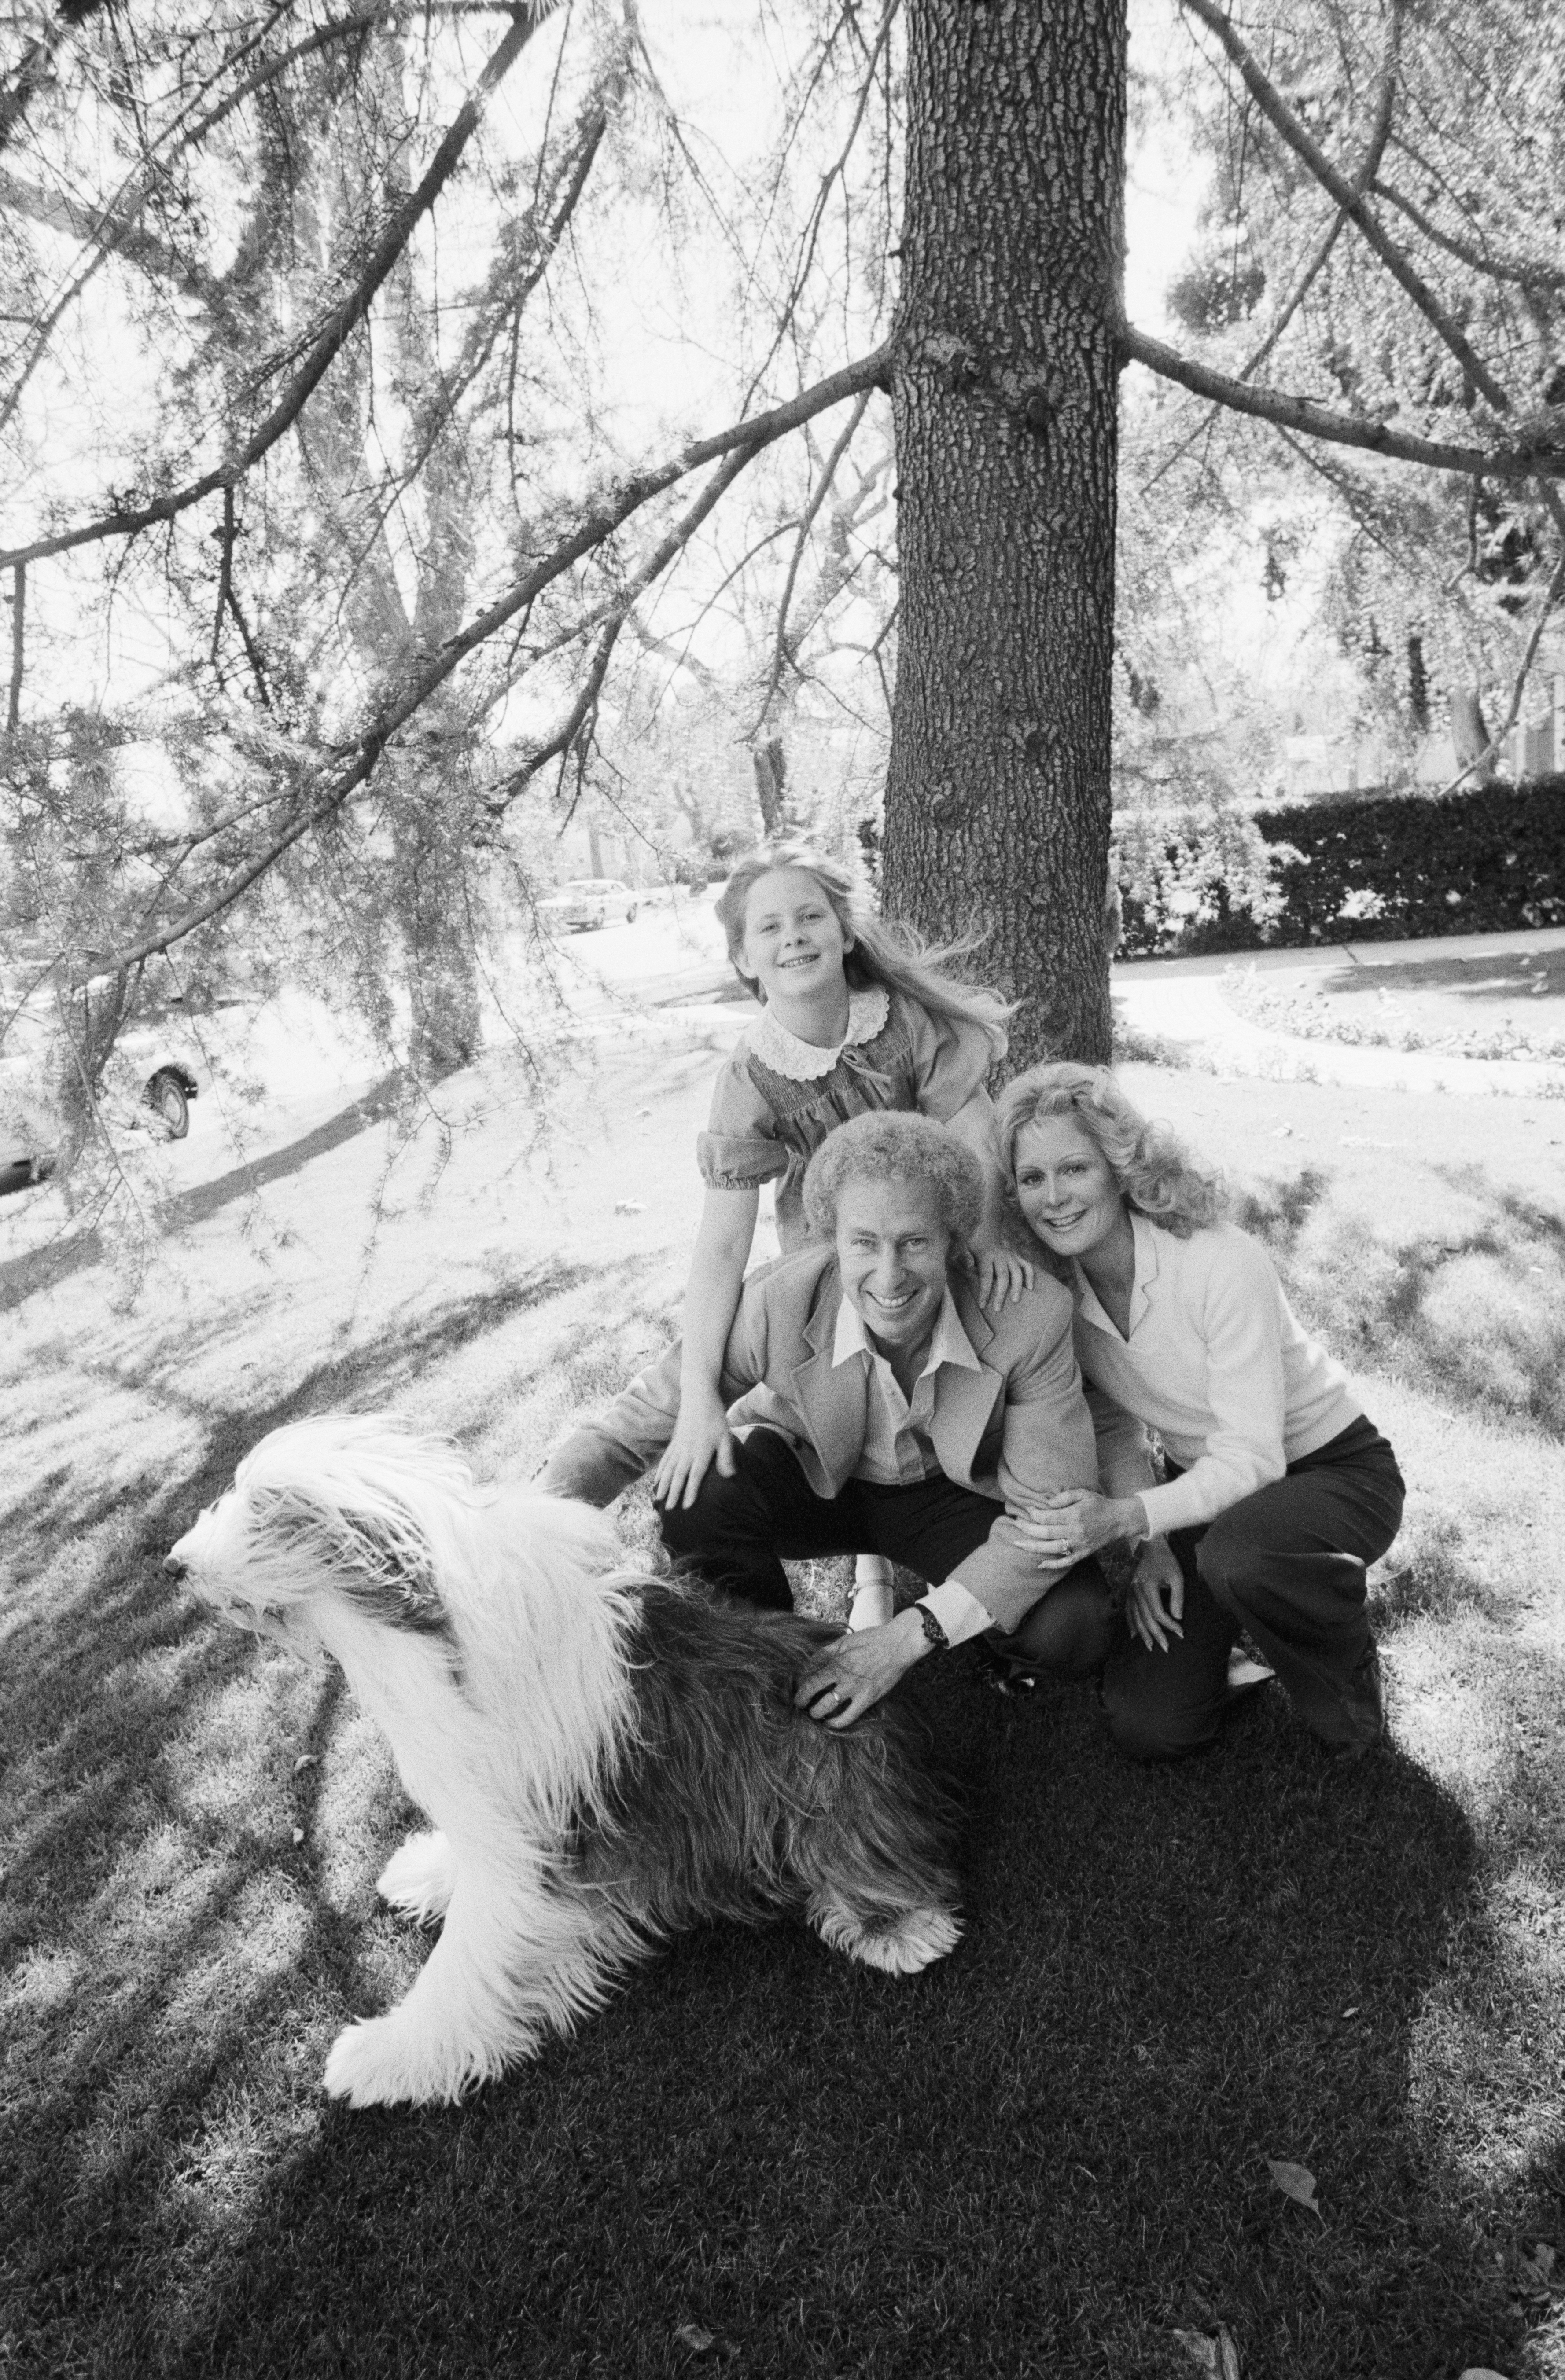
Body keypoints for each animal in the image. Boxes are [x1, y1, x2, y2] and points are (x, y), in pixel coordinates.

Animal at [164, 1409, 957, 2104]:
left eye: (263, 1511)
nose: (174, 1564)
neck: (421, 1643)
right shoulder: (488, 1822)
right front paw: (425, 1872)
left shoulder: (522, 1853)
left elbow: (463, 1965)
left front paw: (385, 2056)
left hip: (817, 1790)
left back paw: (898, 1929)